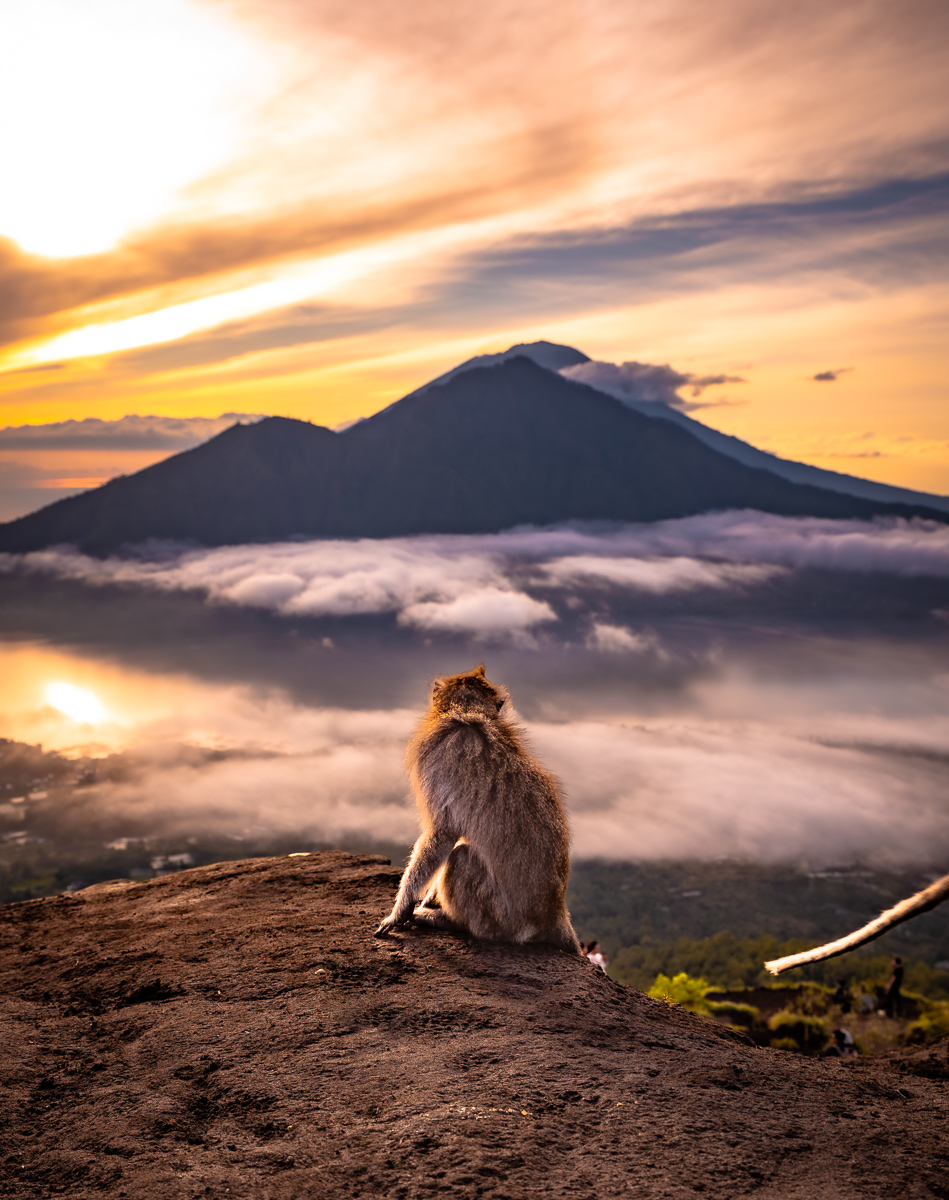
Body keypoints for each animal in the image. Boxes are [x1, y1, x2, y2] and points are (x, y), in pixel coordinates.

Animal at [374, 662, 583, 950]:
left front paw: (400, 910)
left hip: (501, 918)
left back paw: (450, 921)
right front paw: (428, 897)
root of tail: (555, 914)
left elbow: (443, 833)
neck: (466, 711)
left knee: (461, 857)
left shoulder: (438, 758)